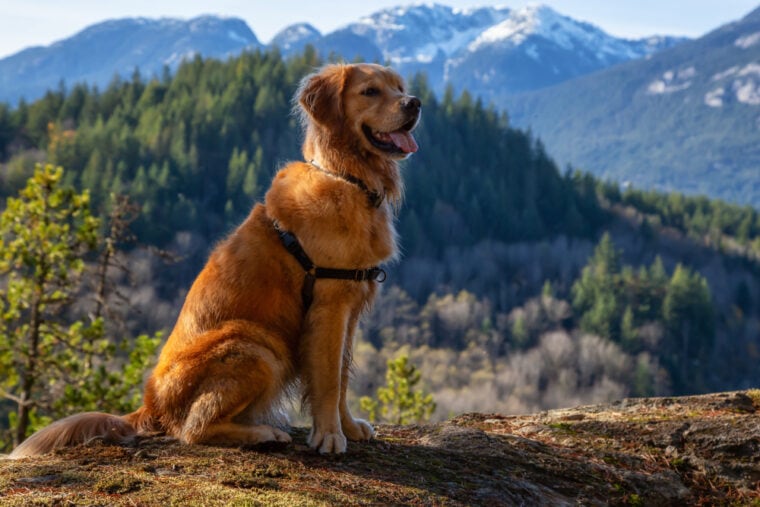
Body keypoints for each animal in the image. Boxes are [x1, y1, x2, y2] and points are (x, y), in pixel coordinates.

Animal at [8, 61, 418, 458]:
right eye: (370, 91)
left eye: (399, 87)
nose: (414, 103)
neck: (347, 178)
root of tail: (150, 406)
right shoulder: (329, 304)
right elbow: (330, 380)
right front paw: (330, 436)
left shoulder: (350, 306)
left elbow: (344, 375)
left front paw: (348, 426)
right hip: (256, 344)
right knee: (194, 429)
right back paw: (263, 434)